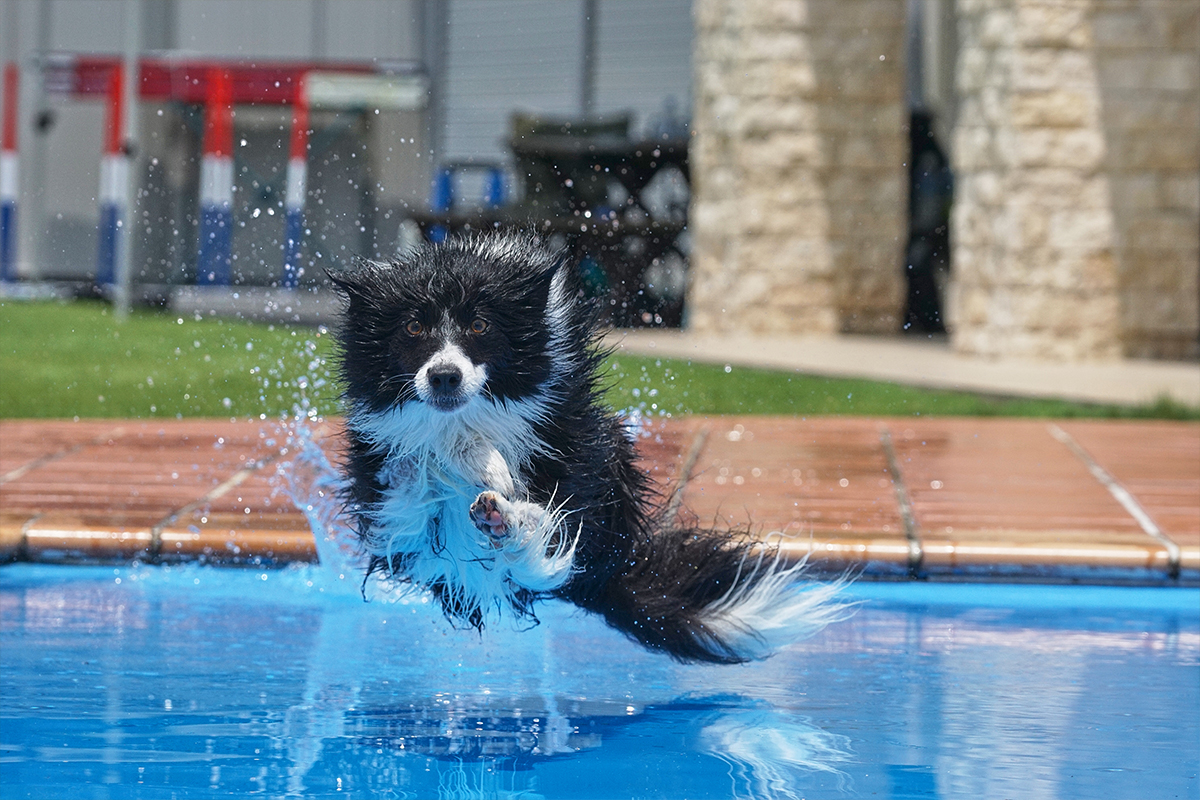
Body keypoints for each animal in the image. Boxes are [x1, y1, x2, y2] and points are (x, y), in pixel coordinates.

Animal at [333, 235, 849, 666]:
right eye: (413, 327)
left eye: (479, 324)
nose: (444, 377)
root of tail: (610, 568)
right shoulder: (377, 465)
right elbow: (414, 471)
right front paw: (459, 460)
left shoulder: (571, 441)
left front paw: (489, 472)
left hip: (603, 475)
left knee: (544, 549)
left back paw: (503, 518)